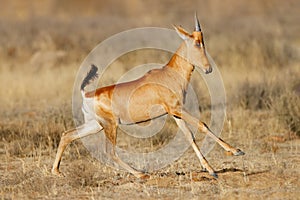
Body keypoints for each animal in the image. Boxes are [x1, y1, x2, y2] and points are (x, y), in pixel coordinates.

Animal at [51, 14, 244, 179]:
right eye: (196, 43)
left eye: (203, 41)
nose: (208, 69)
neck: (169, 74)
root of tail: (87, 94)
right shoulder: (176, 108)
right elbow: (202, 125)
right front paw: (236, 151)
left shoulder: (175, 113)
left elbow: (190, 136)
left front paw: (211, 170)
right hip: (110, 126)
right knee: (109, 152)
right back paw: (140, 174)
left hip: (95, 124)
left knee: (67, 135)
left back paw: (57, 171)